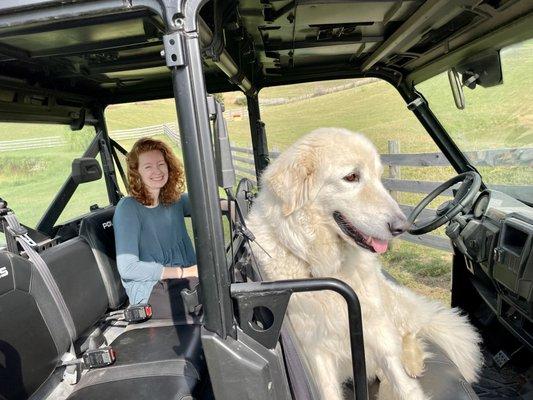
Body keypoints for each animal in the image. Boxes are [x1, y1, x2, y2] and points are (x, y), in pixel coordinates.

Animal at [245, 129, 482, 400]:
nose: (402, 227)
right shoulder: (315, 348)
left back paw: (412, 361)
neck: (326, 263)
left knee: (410, 333)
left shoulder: (374, 324)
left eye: (378, 177)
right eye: (351, 177)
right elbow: (328, 390)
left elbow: (399, 375)